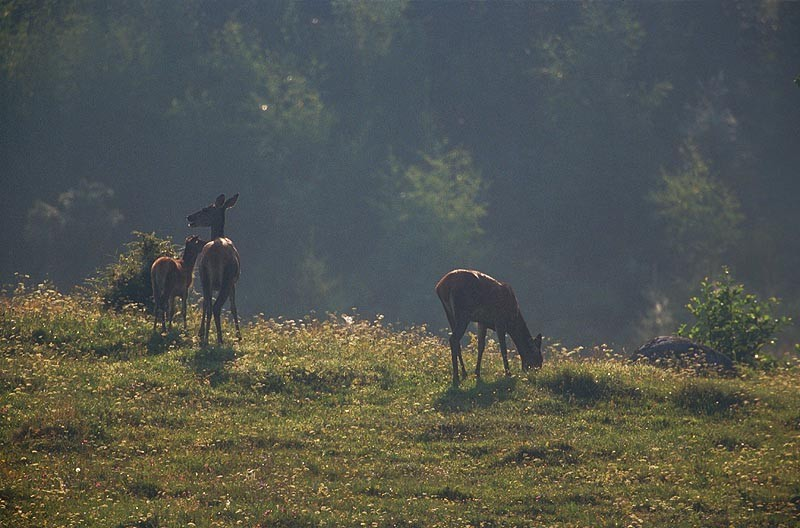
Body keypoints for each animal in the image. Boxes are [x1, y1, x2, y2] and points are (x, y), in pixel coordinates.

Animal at [187, 194, 241, 346]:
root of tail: (215, 253)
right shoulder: (233, 283)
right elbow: (233, 307)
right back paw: (220, 339)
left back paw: (206, 340)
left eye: (205, 209)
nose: (189, 217)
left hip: (204, 275)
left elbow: (205, 304)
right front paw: (238, 336)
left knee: (210, 306)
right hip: (227, 277)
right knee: (216, 307)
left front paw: (201, 333)